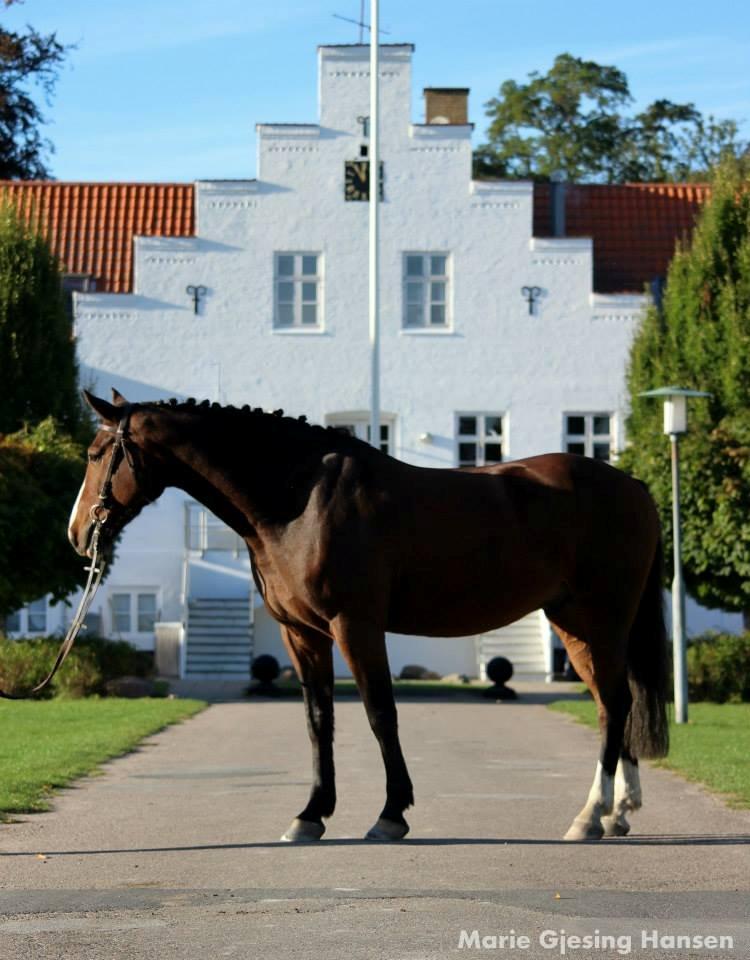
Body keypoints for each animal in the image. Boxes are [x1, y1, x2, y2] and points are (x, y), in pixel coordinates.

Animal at [69, 390, 668, 840]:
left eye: (96, 453)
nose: (77, 535)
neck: (299, 500)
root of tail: (633, 485)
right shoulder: (300, 634)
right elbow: (319, 720)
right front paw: (310, 815)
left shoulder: (354, 626)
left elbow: (381, 714)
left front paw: (390, 813)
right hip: (575, 623)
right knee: (612, 703)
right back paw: (617, 812)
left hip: (601, 619)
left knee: (615, 703)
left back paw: (591, 815)